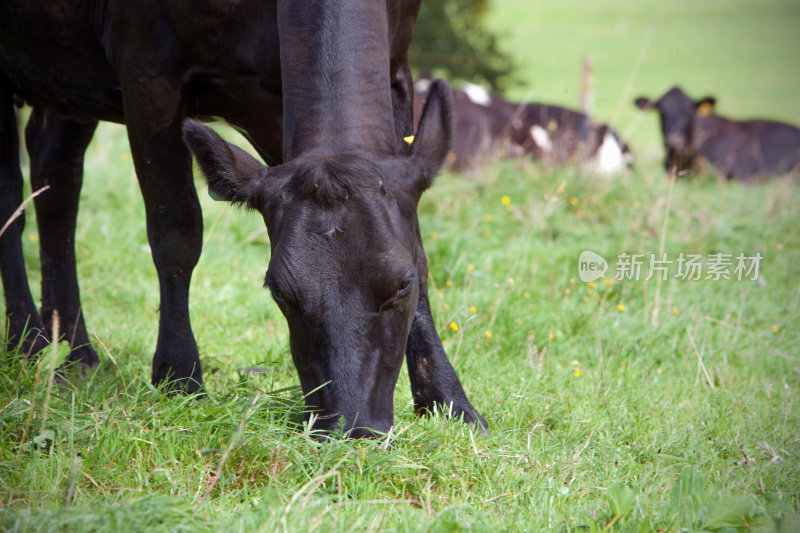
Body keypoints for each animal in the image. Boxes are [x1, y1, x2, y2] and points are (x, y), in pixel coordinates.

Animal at [0, 0, 484, 436]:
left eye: (402, 285)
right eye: (280, 292)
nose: (352, 426)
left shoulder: (394, 69)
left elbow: (417, 244)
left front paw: (449, 400)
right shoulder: (146, 68)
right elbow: (176, 231)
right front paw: (179, 377)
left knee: (55, 174)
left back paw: (75, 352)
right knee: (12, 194)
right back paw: (28, 340)